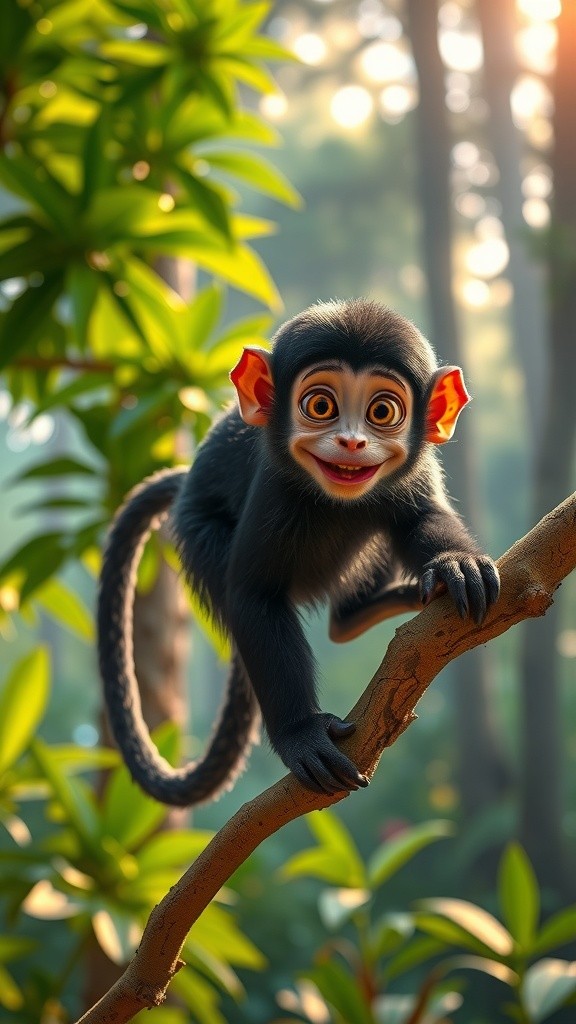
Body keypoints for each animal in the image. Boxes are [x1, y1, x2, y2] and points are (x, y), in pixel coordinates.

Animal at [97, 298, 500, 805]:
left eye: (382, 411)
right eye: (321, 405)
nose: (351, 441)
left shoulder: (418, 472)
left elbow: (421, 520)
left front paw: (457, 565)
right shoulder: (272, 490)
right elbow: (253, 595)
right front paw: (302, 735)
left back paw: (359, 613)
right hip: (197, 527)